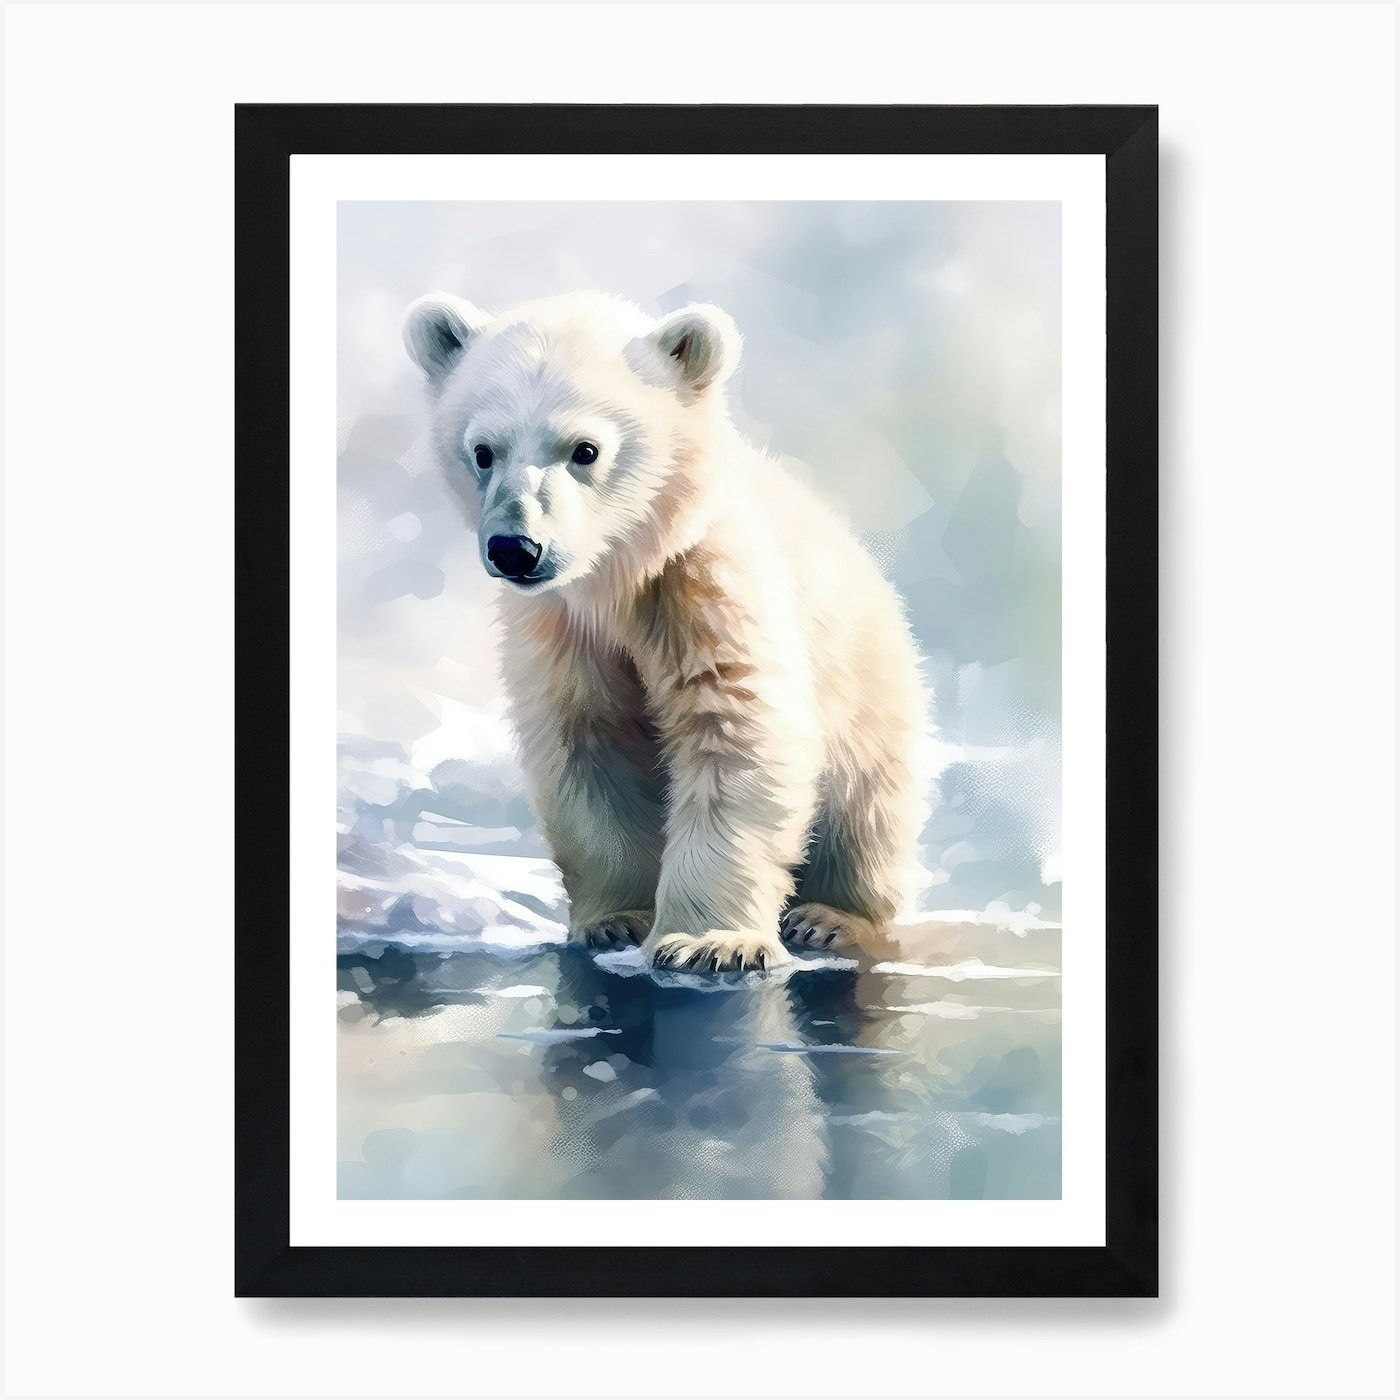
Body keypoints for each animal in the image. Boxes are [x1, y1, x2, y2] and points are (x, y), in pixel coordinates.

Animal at [404, 290, 928, 973]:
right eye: (483, 450)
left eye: (585, 450)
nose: (515, 548)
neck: (618, 577)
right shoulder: (562, 628)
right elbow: (589, 745)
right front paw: (616, 921)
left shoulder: (707, 587)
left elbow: (733, 729)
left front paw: (711, 944)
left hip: (872, 698)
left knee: (864, 815)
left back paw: (830, 918)